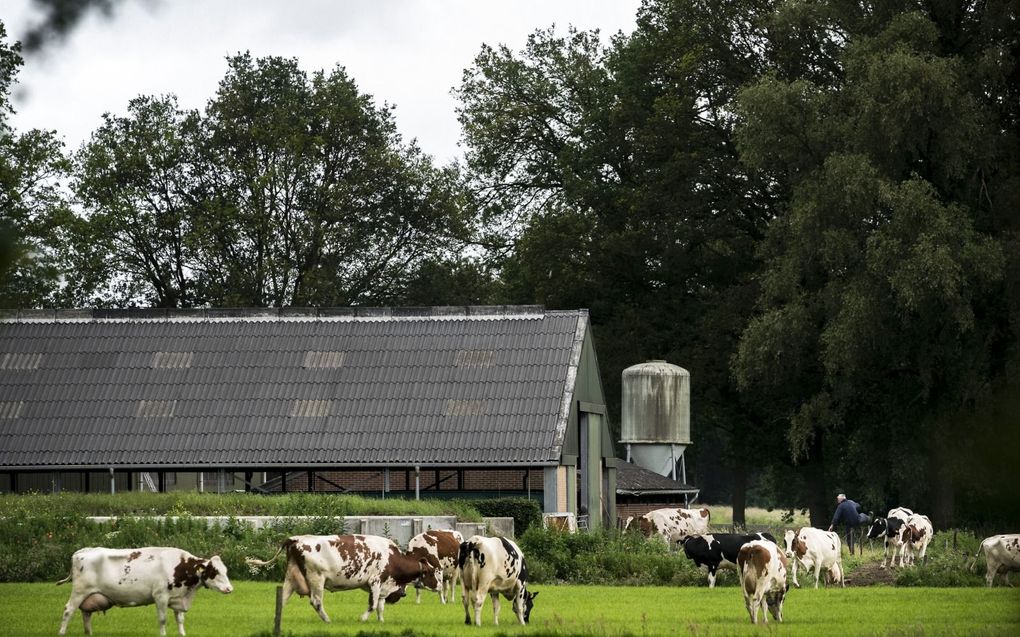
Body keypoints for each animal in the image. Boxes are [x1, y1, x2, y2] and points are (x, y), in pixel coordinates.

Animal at [57, 542, 233, 635]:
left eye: (225, 570)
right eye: (215, 572)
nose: (229, 589)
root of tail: (84, 550)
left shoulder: (178, 597)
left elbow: (180, 619)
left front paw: (182, 634)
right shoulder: (160, 596)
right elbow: (162, 619)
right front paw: (163, 635)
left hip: (89, 595)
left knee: (86, 614)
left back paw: (89, 633)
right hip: (79, 591)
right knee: (68, 610)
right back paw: (62, 632)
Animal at [248, 529, 440, 619]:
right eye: (431, 572)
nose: (439, 586)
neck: (392, 557)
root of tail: (295, 539)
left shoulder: (381, 586)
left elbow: (380, 606)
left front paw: (381, 621)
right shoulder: (375, 582)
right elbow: (372, 605)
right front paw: (362, 619)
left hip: (291, 578)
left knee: (282, 600)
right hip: (316, 578)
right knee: (316, 602)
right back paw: (327, 621)